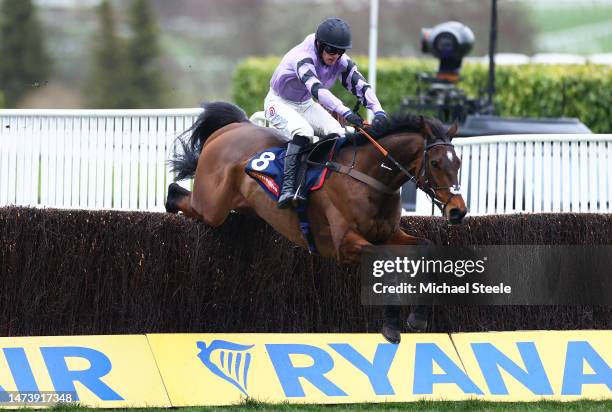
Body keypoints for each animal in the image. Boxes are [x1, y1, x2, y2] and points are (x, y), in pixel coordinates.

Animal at [165, 101, 466, 342]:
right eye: (436, 163)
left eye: (459, 163)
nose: (458, 211)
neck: (369, 178)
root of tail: (231, 128)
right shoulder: (344, 244)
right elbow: (386, 263)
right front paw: (392, 325)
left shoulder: (387, 234)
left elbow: (425, 246)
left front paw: (418, 316)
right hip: (211, 206)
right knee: (178, 193)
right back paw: (170, 203)